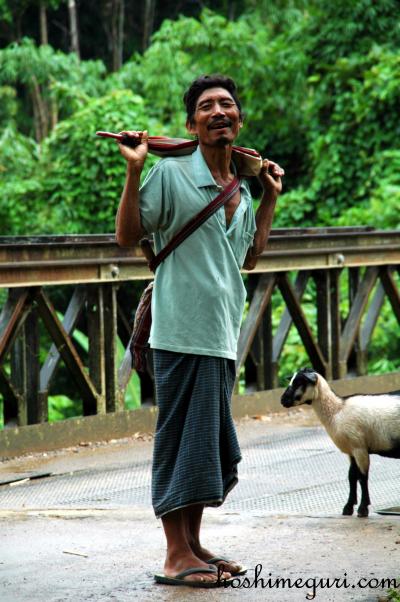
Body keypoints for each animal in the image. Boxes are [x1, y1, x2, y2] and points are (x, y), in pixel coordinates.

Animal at [280, 366, 400, 516]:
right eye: (291, 380)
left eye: (299, 382)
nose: (282, 400)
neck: (337, 411)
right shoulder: (351, 451)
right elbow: (351, 476)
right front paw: (348, 508)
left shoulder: (359, 447)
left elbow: (362, 477)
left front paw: (362, 509)